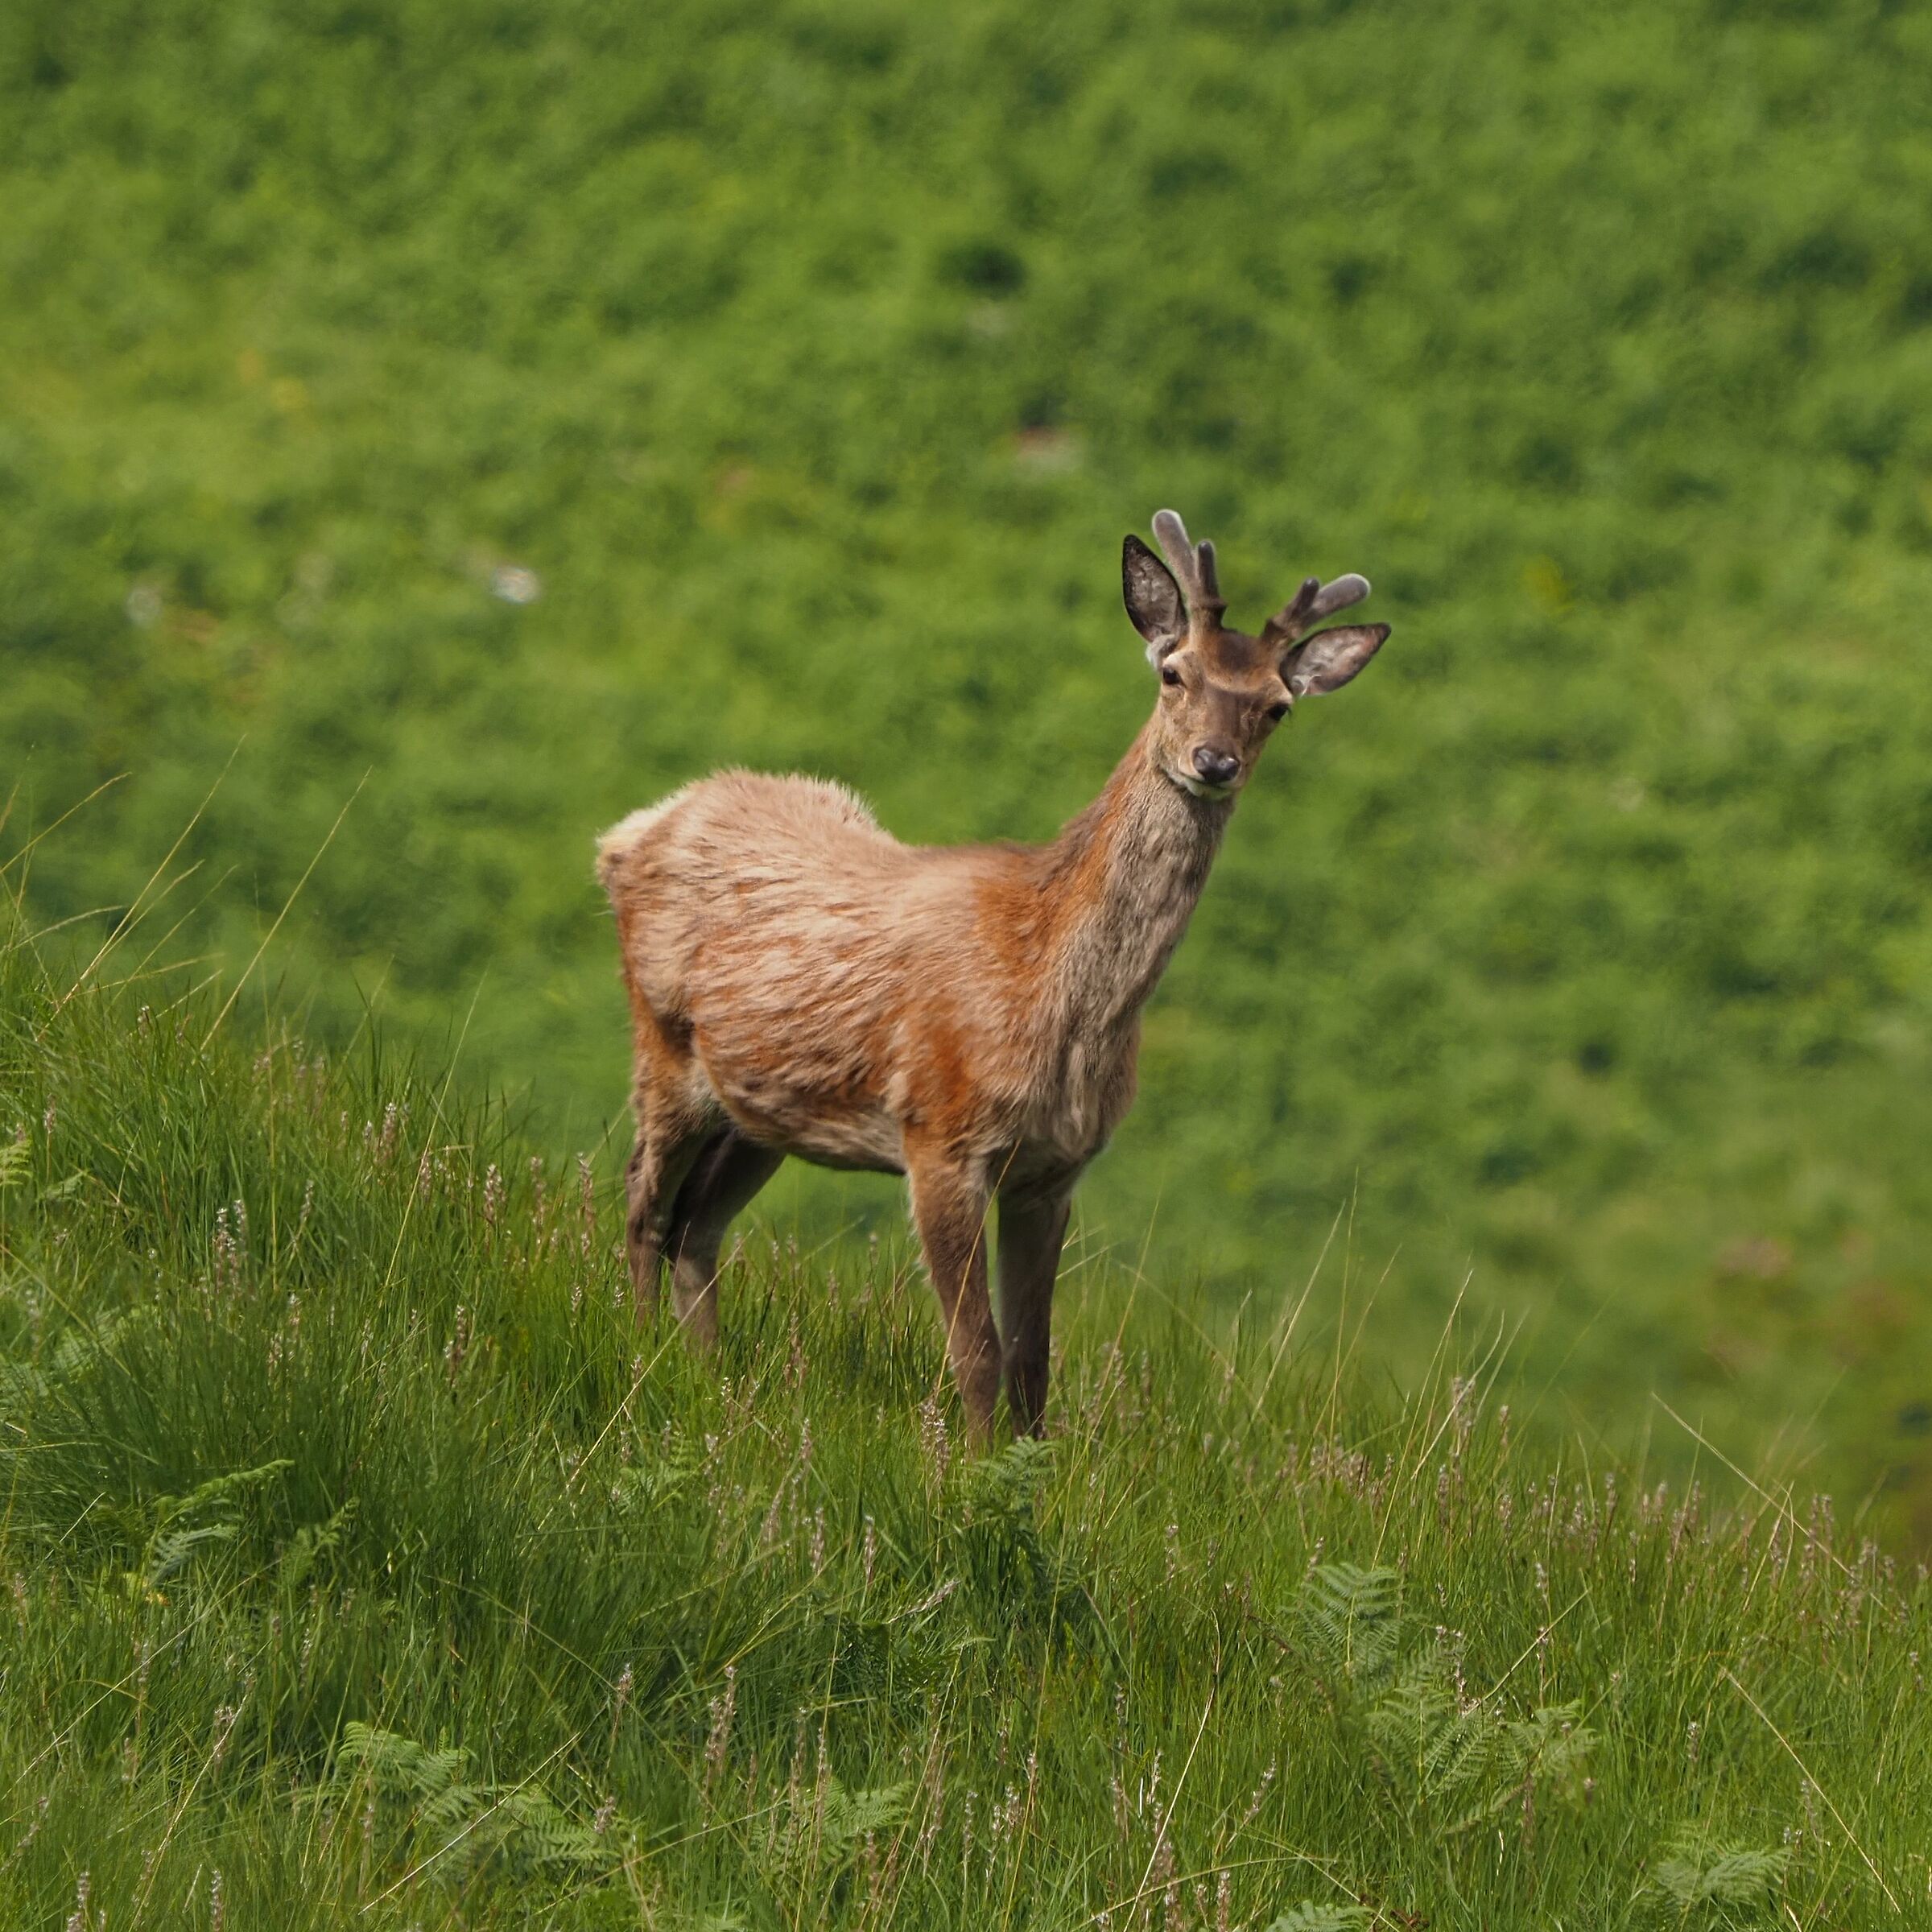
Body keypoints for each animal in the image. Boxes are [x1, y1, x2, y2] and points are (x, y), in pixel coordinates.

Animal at [596, 510, 1388, 1441]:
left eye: (1276, 706)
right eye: (1175, 672)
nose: (1214, 760)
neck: (1053, 999)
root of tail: (628, 833)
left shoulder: (1055, 1170)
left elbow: (1034, 1367)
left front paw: (1030, 1471)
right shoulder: (940, 1134)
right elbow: (975, 1355)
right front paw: (967, 1474)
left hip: (763, 1107)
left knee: (697, 1223)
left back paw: (709, 1376)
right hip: (664, 1042)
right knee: (644, 1202)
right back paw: (640, 1354)